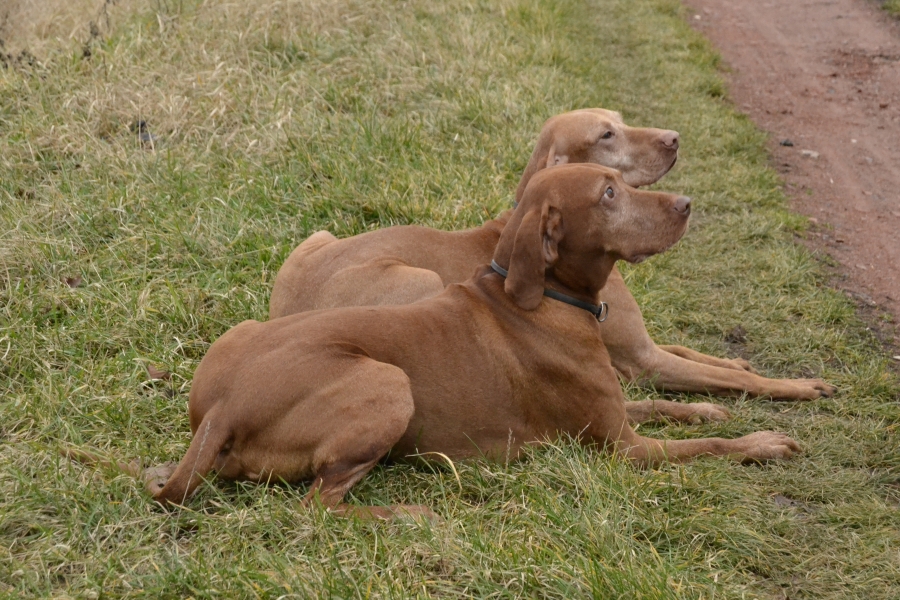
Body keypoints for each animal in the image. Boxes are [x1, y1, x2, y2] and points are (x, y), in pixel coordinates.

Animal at [66, 164, 799, 519]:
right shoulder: (624, 450)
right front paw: (762, 441)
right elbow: (707, 447)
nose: (686, 206)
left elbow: (670, 403)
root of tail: (218, 408)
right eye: (609, 193)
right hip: (388, 380)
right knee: (317, 510)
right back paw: (410, 511)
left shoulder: (615, 409)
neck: (545, 297)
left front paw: (708, 405)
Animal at [269, 109, 835, 401]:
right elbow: (729, 377)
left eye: (620, 119)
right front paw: (797, 385)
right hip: (420, 279)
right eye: (606, 135)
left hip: (316, 237)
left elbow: (700, 353)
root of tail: (283, 317)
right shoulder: (645, 361)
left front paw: (738, 359)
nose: (675, 138)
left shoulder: (643, 347)